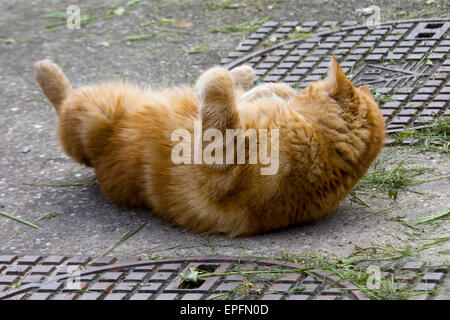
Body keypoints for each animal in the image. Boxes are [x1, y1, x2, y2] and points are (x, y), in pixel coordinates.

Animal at [35, 57, 384, 238]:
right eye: (308, 86)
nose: (301, 90)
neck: (325, 151)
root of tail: (98, 160)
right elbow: (248, 97)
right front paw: (269, 88)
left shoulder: (217, 159)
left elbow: (219, 90)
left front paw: (219, 79)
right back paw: (244, 73)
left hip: (92, 112)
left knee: (62, 102)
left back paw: (45, 68)